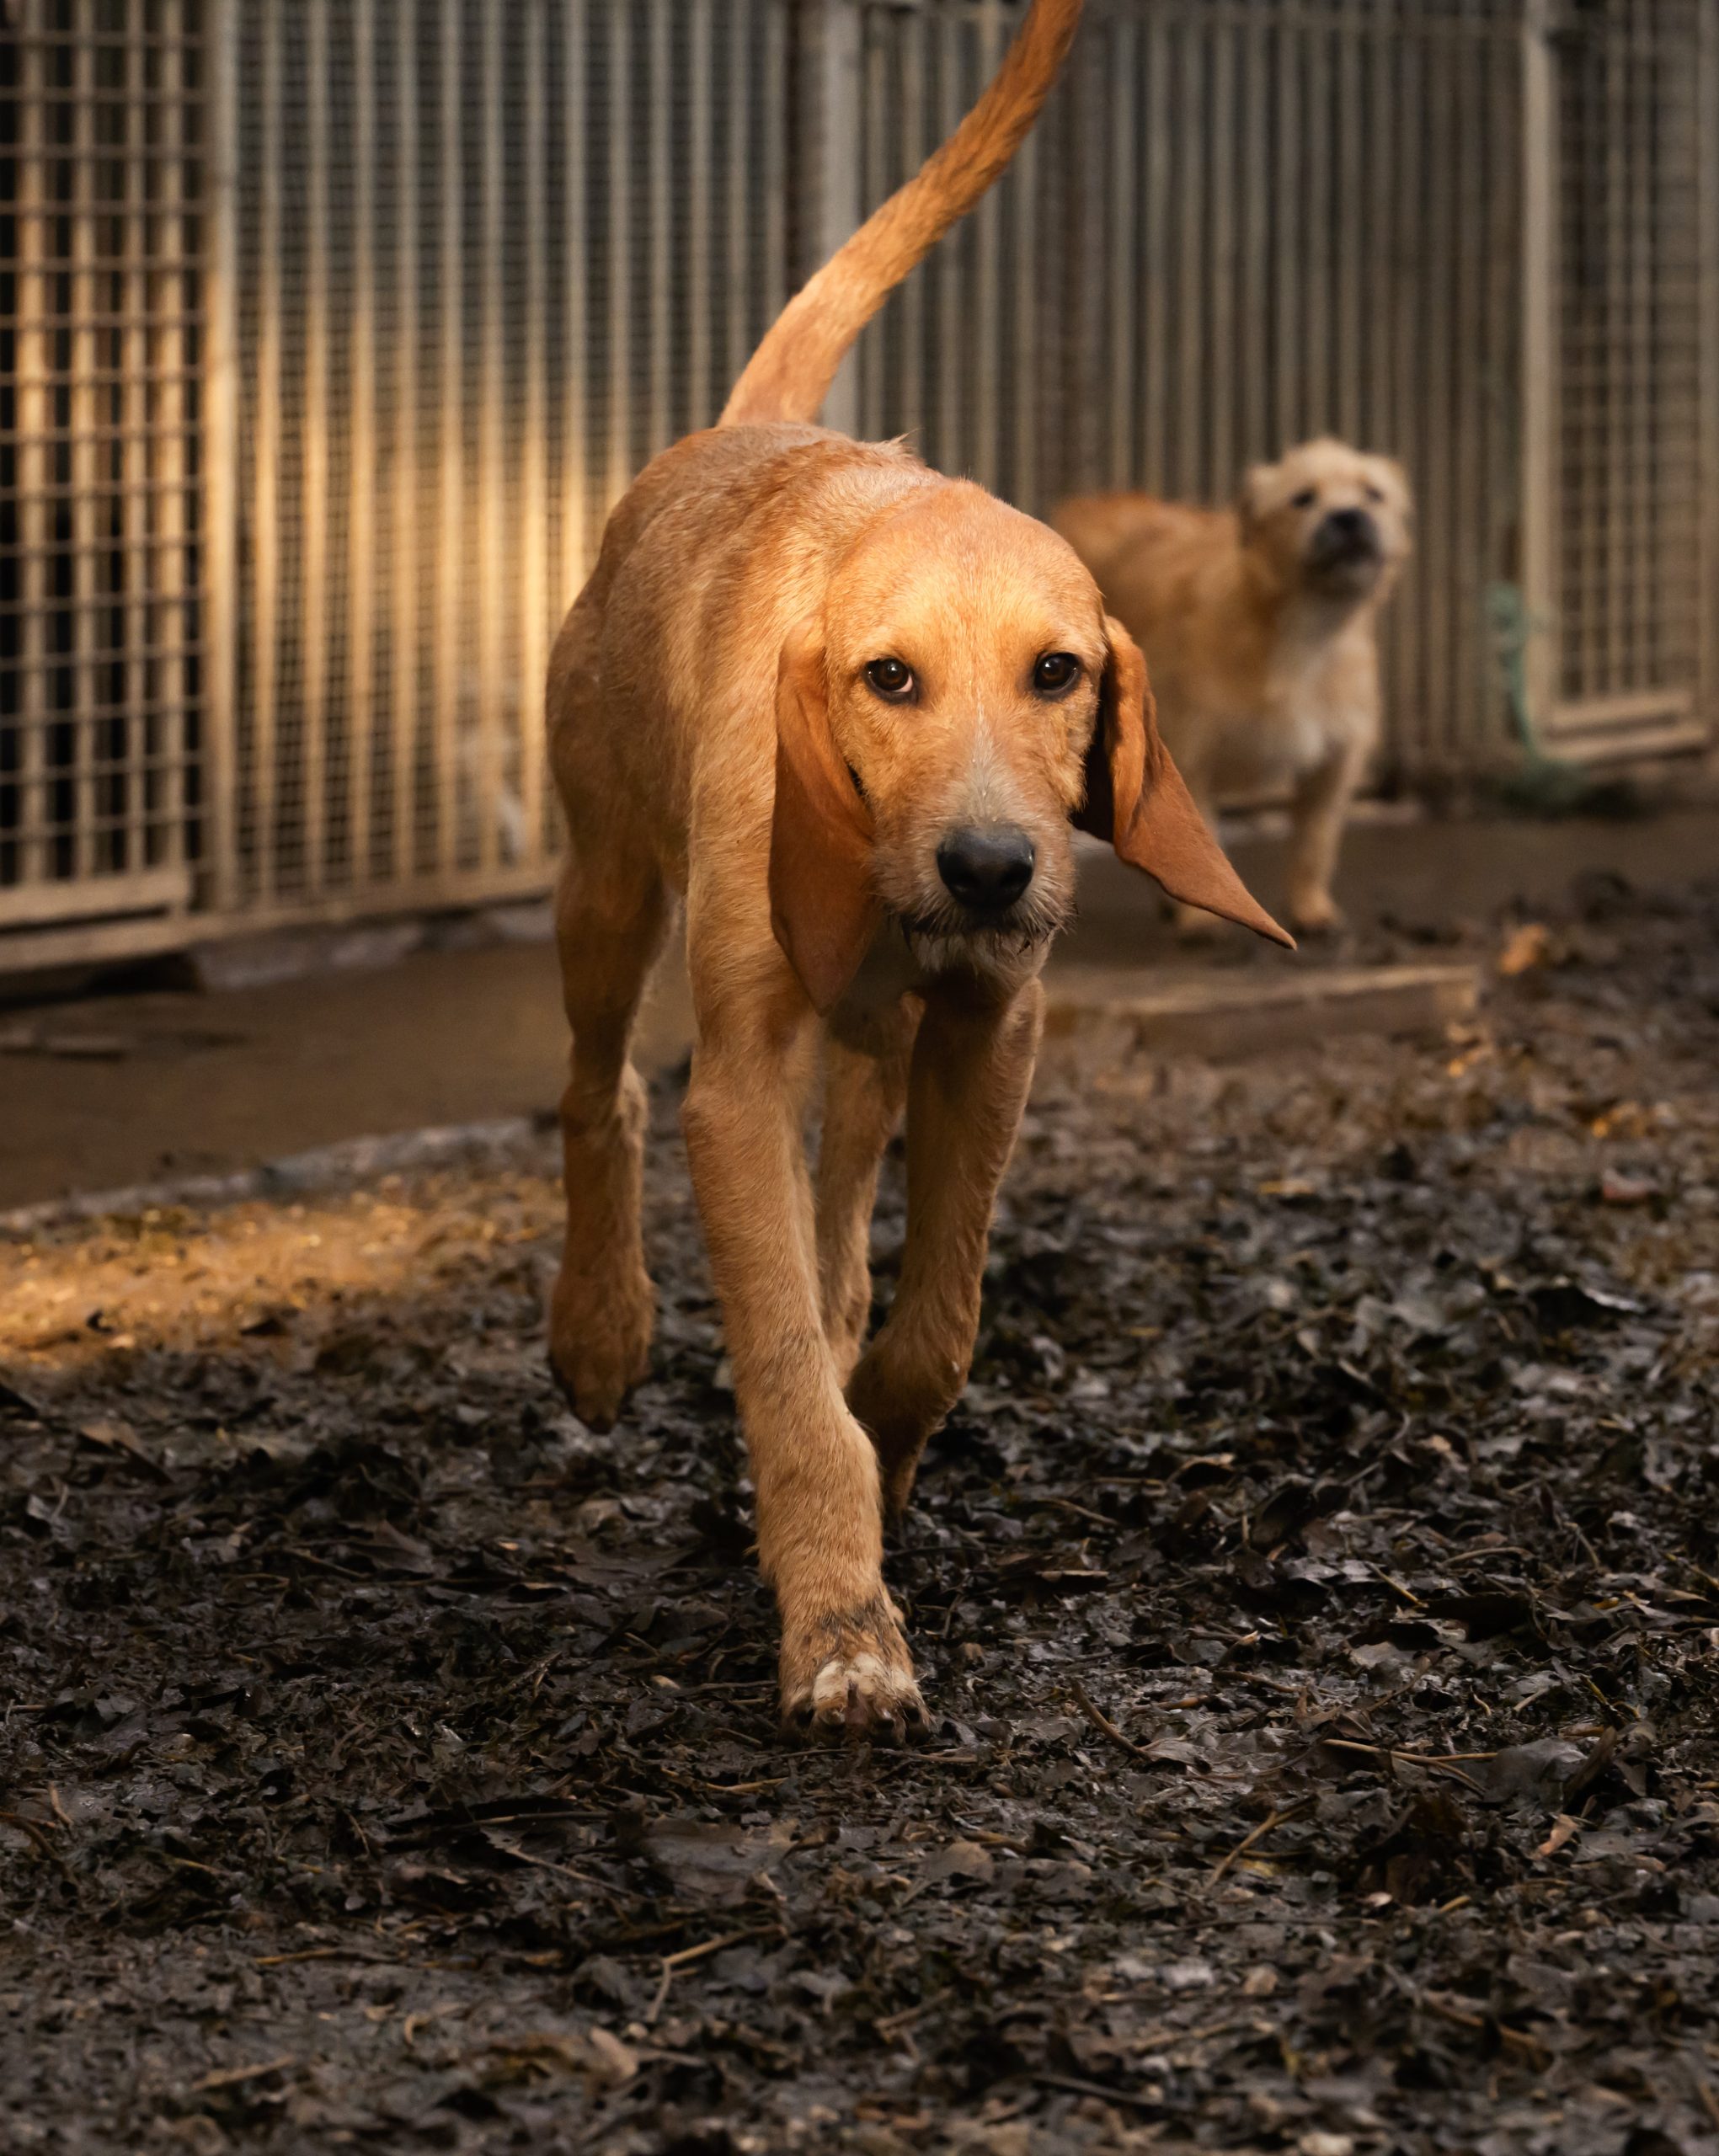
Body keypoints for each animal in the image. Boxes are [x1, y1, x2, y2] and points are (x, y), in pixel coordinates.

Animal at [543, 0, 1290, 1742]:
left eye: (1059, 673)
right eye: (888, 680)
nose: (993, 867)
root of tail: (743, 430)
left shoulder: (987, 1032)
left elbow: (928, 1329)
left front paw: (877, 1445)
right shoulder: (743, 1080)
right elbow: (785, 1371)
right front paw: (840, 1619)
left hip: (877, 1041)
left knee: (835, 1222)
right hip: (606, 894)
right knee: (600, 1089)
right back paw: (601, 1330)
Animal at [1054, 440, 1412, 934]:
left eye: (1373, 494)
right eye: (1303, 498)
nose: (1348, 517)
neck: (1302, 632)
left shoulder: (1335, 764)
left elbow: (1314, 843)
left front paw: (1310, 907)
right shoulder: (1190, 753)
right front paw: (1201, 920)